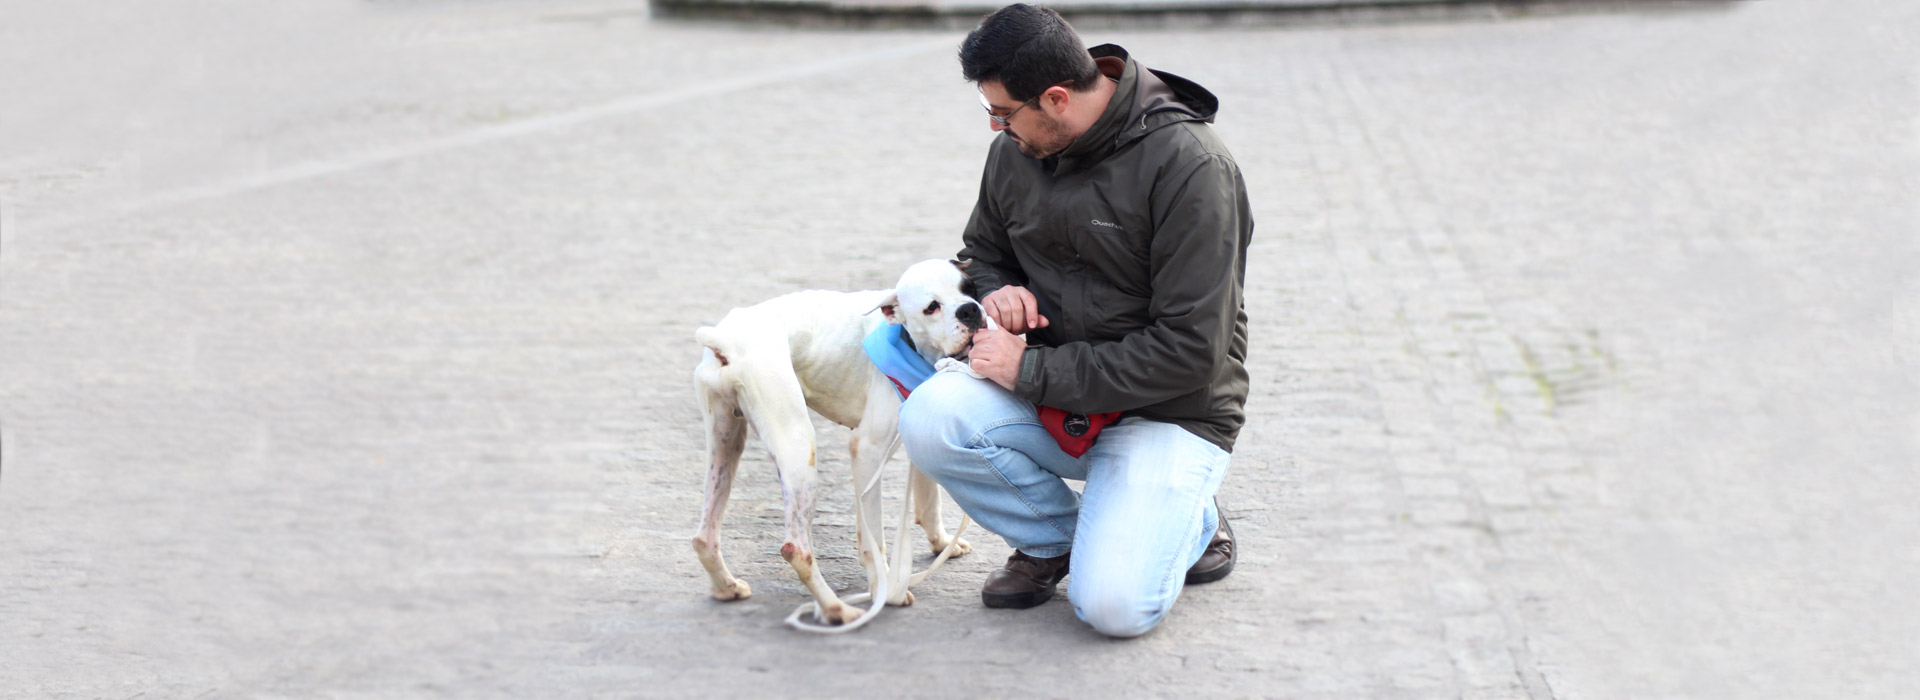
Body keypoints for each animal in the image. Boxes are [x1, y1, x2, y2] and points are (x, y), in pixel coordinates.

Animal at [691, 258, 983, 625]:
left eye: (970, 288)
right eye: (932, 307)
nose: (970, 311)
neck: (907, 338)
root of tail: (724, 340)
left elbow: (929, 500)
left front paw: (942, 543)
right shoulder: (867, 451)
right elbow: (873, 539)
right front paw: (884, 591)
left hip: (726, 443)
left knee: (704, 536)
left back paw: (726, 587)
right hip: (798, 450)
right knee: (796, 549)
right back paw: (836, 609)